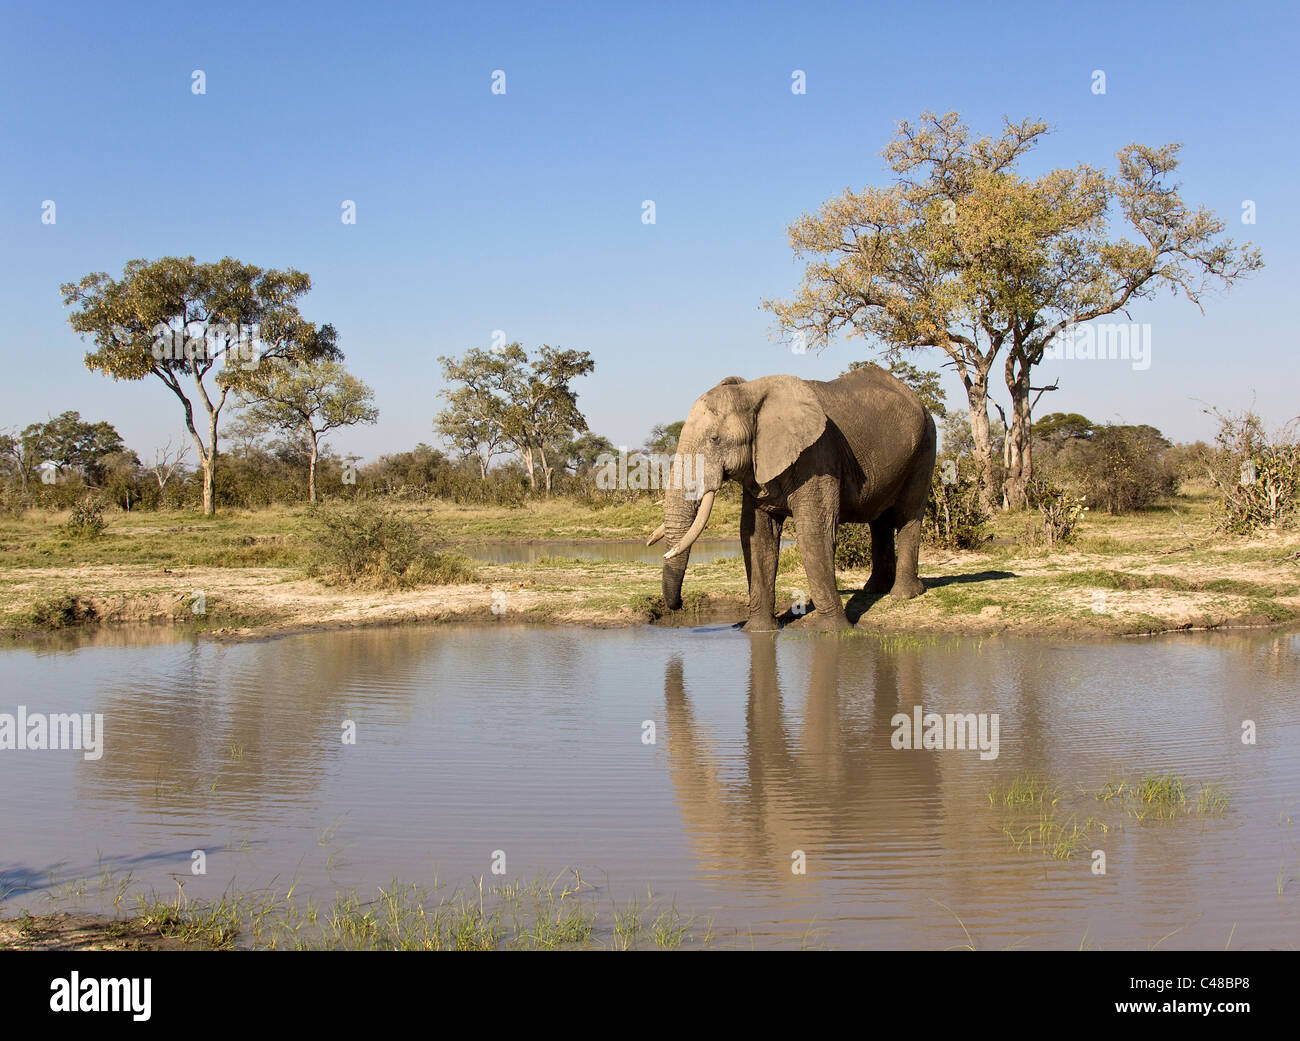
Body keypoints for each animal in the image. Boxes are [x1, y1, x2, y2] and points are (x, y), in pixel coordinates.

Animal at [647, 361, 935, 629]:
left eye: (715, 439)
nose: (680, 605)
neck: (752, 392)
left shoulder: (818, 455)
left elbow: (815, 532)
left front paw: (835, 631)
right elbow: (757, 536)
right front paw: (758, 630)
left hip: (925, 445)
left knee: (908, 515)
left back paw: (903, 595)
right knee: (880, 520)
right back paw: (874, 589)